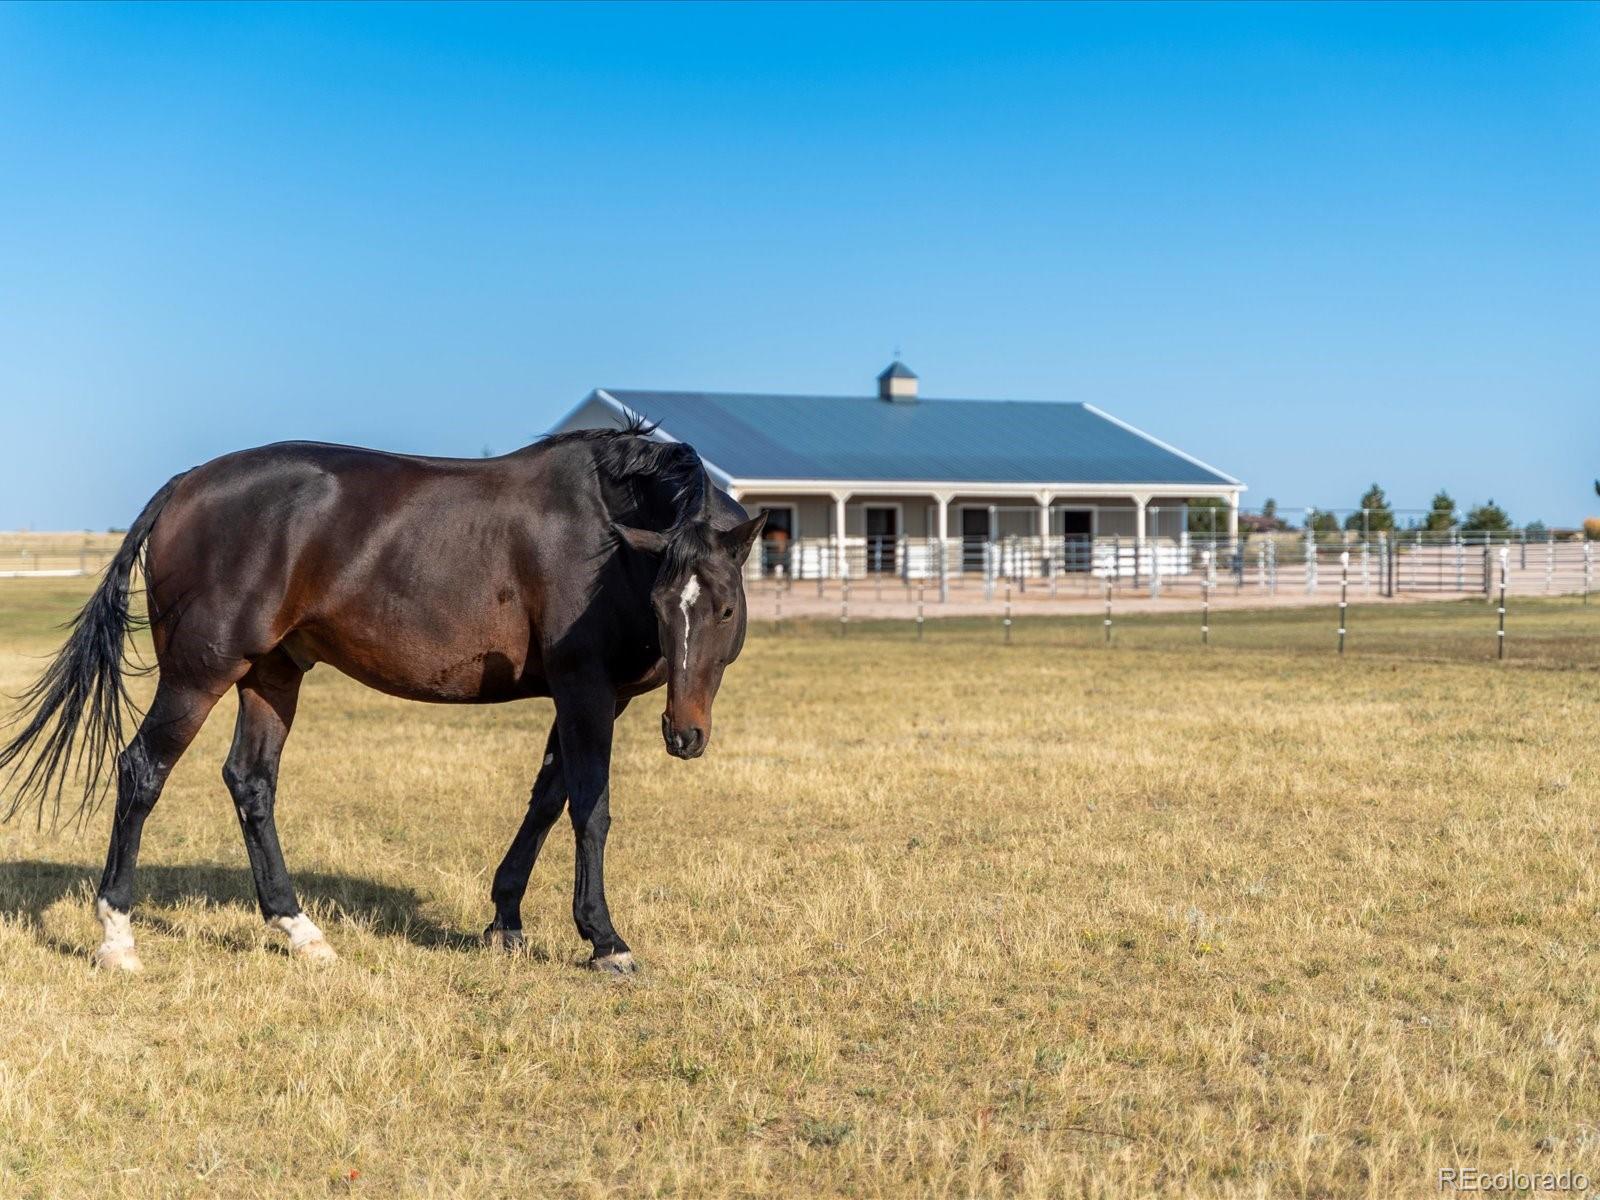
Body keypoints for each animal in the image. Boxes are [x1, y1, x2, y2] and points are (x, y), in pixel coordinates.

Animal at [1, 422, 761, 979]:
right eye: (665, 604)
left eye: (724, 609)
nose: (684, 734)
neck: (606, 532)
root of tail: (187, 483)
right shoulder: (586, 691)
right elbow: (589, 810)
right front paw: (605, 939)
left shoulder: (589, 699)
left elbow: (546, 802)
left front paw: (505, 919)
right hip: (198, 675)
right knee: (142, 772)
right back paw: (117, 938)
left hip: (271, 675)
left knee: (251, 782)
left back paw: (299, 930)